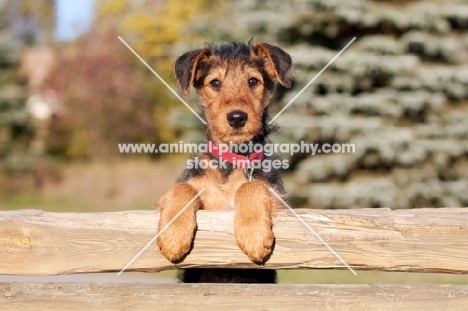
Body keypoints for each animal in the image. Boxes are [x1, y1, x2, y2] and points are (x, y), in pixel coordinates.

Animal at [157, 40, 292, 284]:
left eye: (253, 81)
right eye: (215, 82)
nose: (237, 118)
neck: (233, 160)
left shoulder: (279, 200)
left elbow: (251, 186)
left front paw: (254, 236)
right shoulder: (207, 200)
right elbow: (182, 188)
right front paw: (173, 238)